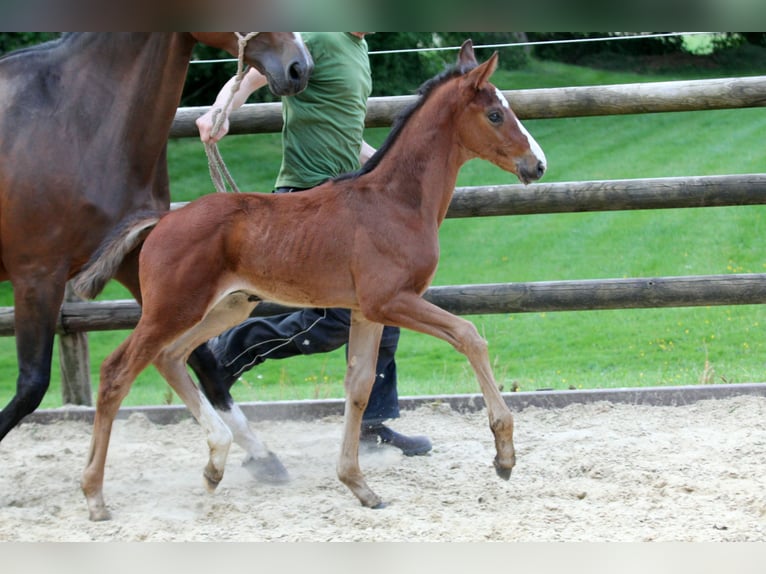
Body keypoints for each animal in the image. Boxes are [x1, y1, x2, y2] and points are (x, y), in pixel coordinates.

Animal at [0, 32, 316, 440]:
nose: (299, 67)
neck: (79, 121)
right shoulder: (37, 275)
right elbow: (32, 385)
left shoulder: (137, 261)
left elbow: (203, 361)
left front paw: (261, 454)